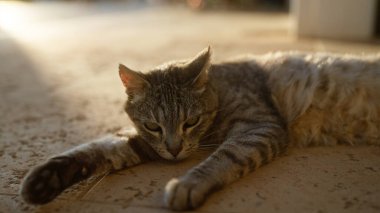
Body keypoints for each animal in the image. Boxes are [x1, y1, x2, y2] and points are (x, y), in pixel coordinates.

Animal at [19, 46, 378, 210]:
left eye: (190, 121)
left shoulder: (259, 125)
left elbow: (224, 157)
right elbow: (99, 147)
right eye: (153, 125)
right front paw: (46, 179)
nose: (175, 148)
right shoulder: (147, 143)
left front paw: (189, 184)